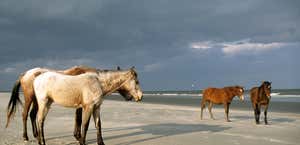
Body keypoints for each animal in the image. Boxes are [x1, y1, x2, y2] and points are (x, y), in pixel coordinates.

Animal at [5, 65, 139, 142]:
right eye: (137, 81)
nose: (139, 96)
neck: (97, 82)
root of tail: (27, 75)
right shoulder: (87, 107)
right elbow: (83, 124)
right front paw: (79, 139)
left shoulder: (96, 107)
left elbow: (98, 125)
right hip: (34, 99)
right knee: (30, 116)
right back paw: (27, 137)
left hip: (41, 102)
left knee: (34, 116)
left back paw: (37, 136)